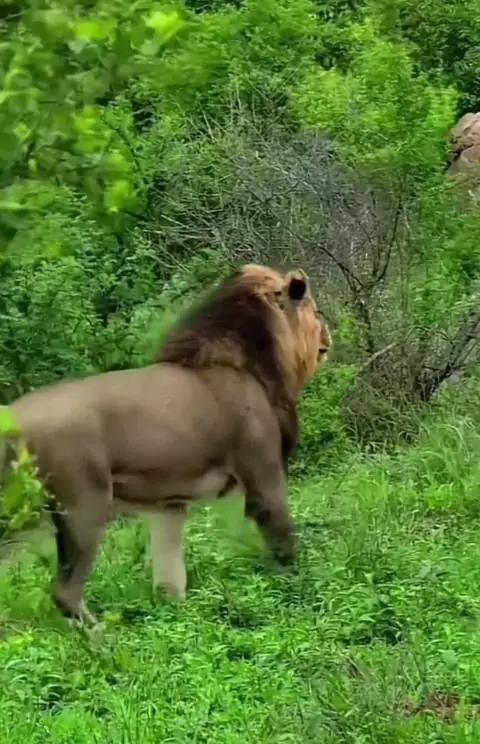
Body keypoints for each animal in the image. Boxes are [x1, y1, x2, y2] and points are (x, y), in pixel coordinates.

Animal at [1, 264, 331, 625]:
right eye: (314, 310)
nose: (328, 336)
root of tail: (12, 416)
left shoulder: (169, 504)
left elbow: (170, 575)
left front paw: (178, 619)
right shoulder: (264, 474)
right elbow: (285, 544)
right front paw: (302, 591)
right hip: (82, 507)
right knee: (65, 592)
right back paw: (102, 633)